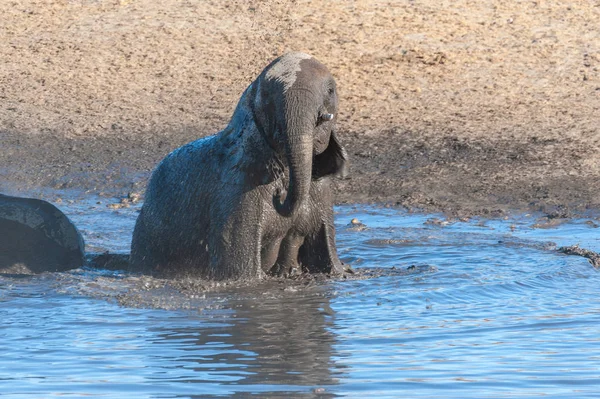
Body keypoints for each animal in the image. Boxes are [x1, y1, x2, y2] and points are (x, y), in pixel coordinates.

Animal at [129, 51, 350, 280]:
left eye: (330, 91)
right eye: (268, 96)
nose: (279, 196)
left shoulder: (322, 193)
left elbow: (331, 264)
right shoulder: (238, 191)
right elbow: (241, 271)